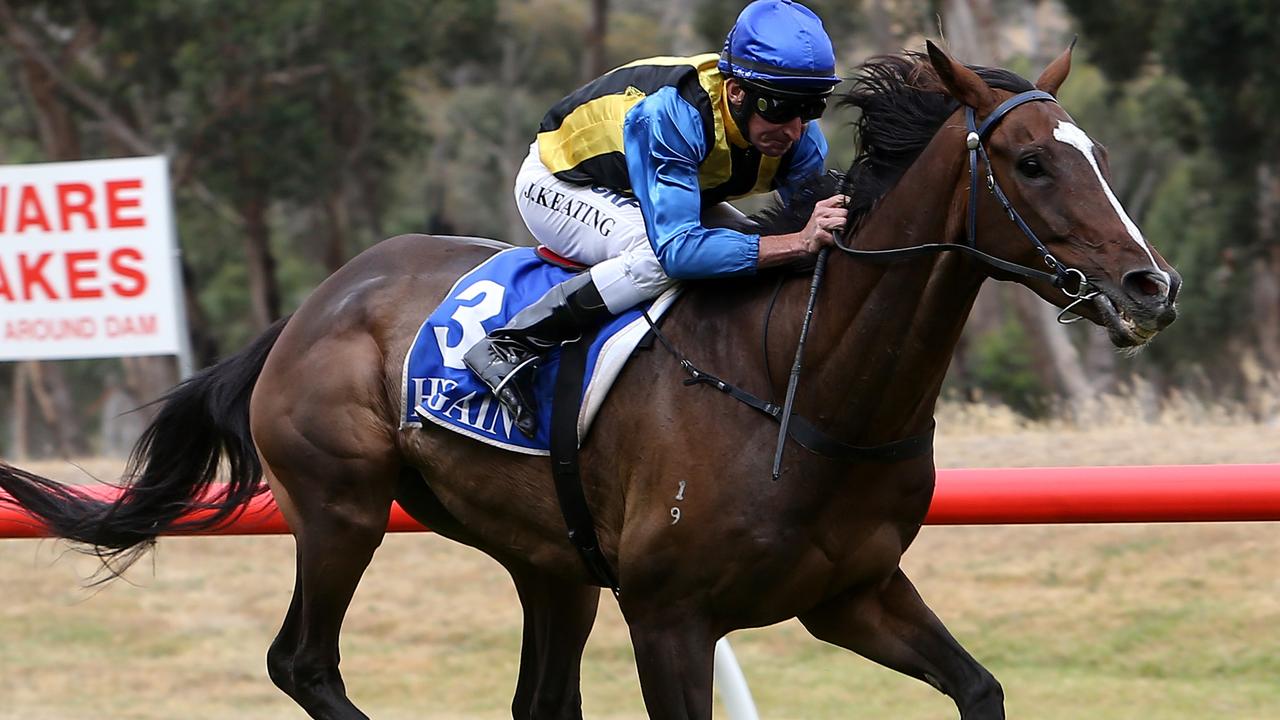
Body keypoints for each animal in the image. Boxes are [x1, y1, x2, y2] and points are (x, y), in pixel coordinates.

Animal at [0, 44, 1177, 717]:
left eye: (1095, 153)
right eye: (1031, 162)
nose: (1149, 284)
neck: (809, 389)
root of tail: (313, 305)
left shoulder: (852, 594)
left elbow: (979, 689)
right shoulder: (671, 620)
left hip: (549, 564)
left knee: (535, 699)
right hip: (341, 508)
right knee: (304, 663)